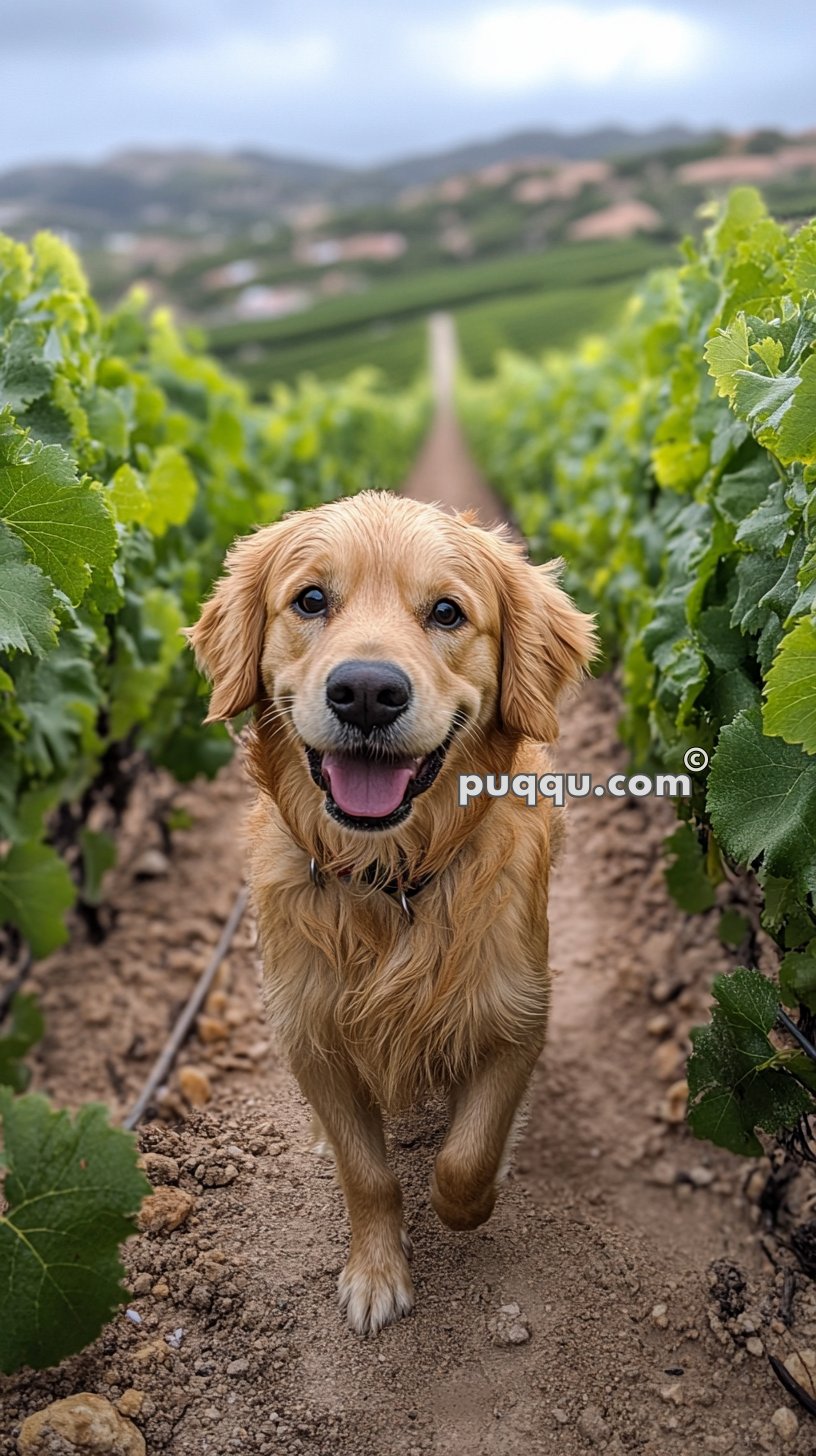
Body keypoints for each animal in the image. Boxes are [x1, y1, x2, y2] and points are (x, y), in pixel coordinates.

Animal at [193, 489, 597, 1333]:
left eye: (447, 612)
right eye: (311, 599)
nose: (367, 692)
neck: (391, 879)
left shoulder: (518, 1017)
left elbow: (465, 1161)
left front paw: (470, 1201)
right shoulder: (309, 1035)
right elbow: (366, 1172)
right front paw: (376, 1271)